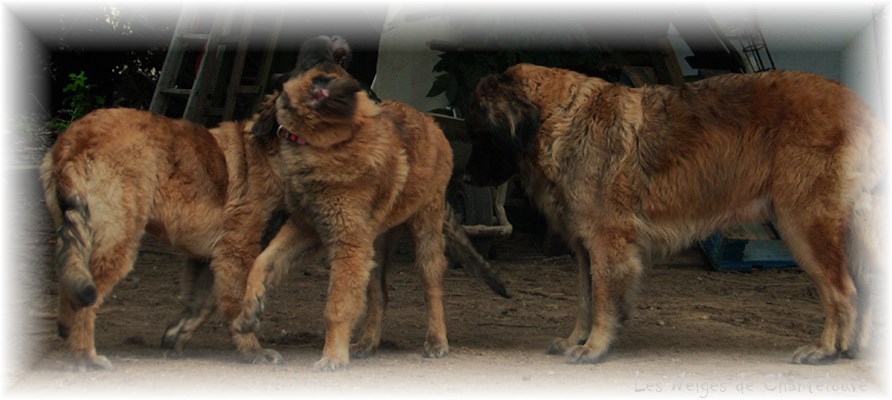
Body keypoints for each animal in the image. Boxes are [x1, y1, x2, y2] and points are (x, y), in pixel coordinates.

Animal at [240, 62, 464, 372]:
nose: (248, 127)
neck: (325, 142)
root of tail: (433, 123)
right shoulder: (305, 228)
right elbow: (262, 262)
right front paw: (251, 307)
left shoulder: (348, 244)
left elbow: (337, 305)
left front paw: (333, 356)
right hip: (374, 245)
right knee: (380, 293)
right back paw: (367, 343)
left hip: (424, 230)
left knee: (433, 287)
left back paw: (436, 342)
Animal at [466, 63, 884, 366]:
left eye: (482, 134)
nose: (465, 176)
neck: (563, 118)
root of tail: (861, 105)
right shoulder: (585, 246)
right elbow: (585, 299)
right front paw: (575, 341)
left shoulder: (607, 241)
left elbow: (602, 300)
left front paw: (593, 347)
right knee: (863, 284)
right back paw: (854, 348)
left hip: (802, 224)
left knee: (841, 290)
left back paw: (827, 350)